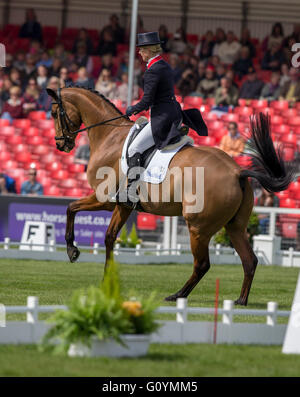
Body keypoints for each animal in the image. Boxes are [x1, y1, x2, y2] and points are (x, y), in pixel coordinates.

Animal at [47, 85, 292, 304]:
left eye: (53, 113)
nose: (61, 145)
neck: (110, 136)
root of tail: (237, 172)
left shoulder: (104, 198)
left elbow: (70, 208)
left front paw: (72, 250)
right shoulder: (123, 205)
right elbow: (109, 238)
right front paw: (107, 279)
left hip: (198, 228)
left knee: (202, 264)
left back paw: (177, 295)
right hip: (235, 227)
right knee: (249, 260)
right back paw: (240, 300)